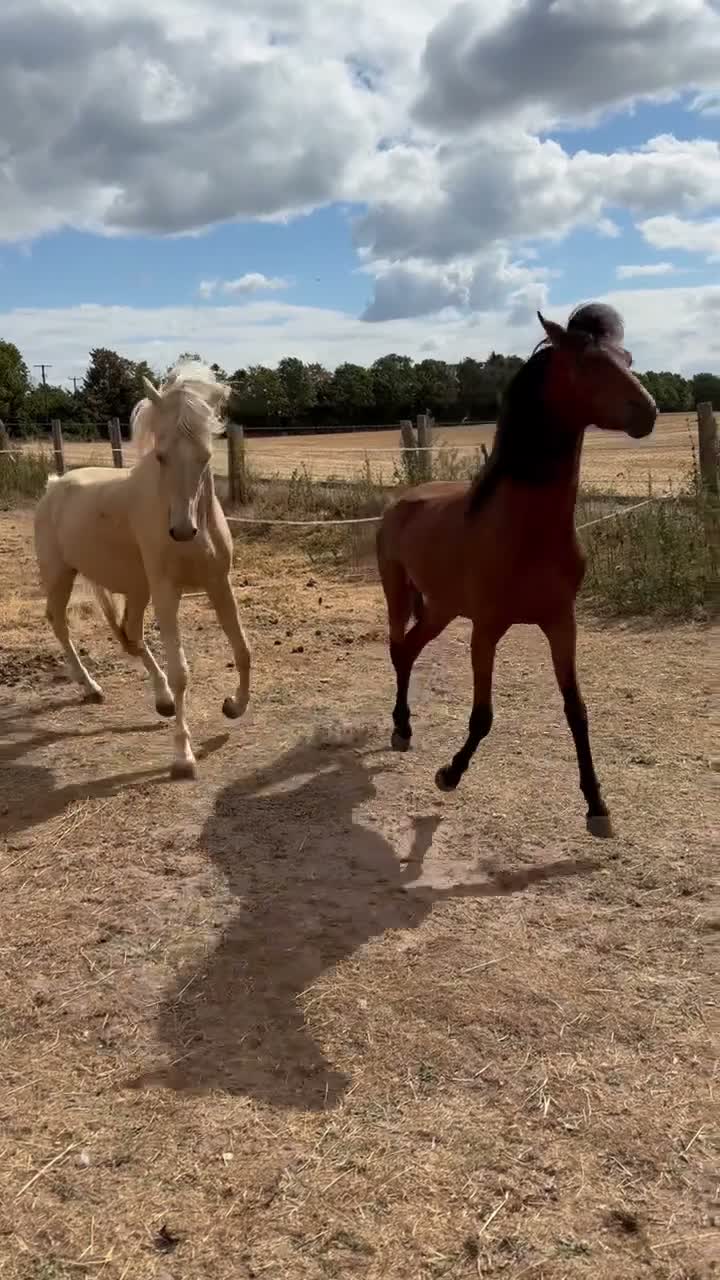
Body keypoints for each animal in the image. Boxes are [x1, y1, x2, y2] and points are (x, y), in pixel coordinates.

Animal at [33, 361, 251, 780]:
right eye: (161, 456)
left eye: (205, 456)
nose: (181, 531)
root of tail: (53, 485)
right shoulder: (167, 592)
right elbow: (182, 672)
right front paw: (183, 757)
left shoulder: (219, 583)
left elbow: (243, 649)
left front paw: (234, 706)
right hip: (61, 576)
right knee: (59, 623)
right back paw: (91, 687)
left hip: (137, 589)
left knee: (131, 633)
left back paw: (161, 700)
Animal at [376, 303, 657, 838]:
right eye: (586, 363)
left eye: (629, 357)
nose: (648, 413)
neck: (526, 531)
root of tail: (403, 501)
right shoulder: (486, 629)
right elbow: (482, 716)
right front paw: (449, 774)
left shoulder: (561, 623)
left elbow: (577, 712)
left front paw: (597, 807)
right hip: (399, 594)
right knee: (398, 649)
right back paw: (401, 728)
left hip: (441, 608)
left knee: (409, 651)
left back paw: (404, 728)